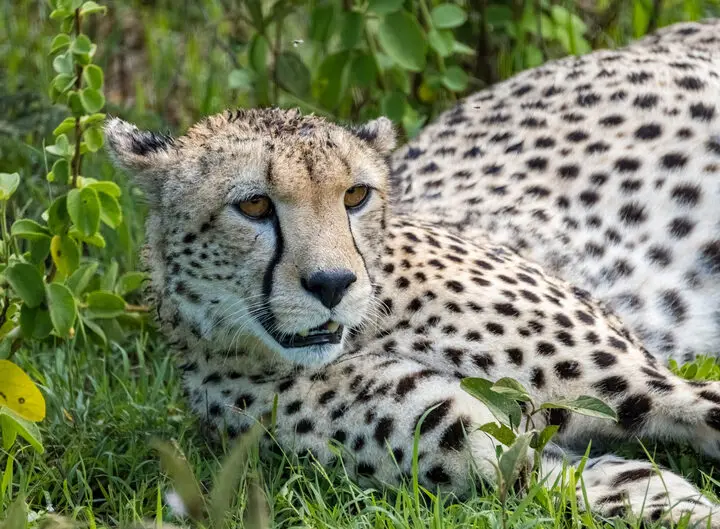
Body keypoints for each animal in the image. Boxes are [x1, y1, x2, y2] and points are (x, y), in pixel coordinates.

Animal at [105, 19, 720, 528]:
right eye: (254, 205)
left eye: (355, 195)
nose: (332, 284)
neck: (369, 330)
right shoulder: (498, 453)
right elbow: (640, 490)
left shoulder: (647, 382)